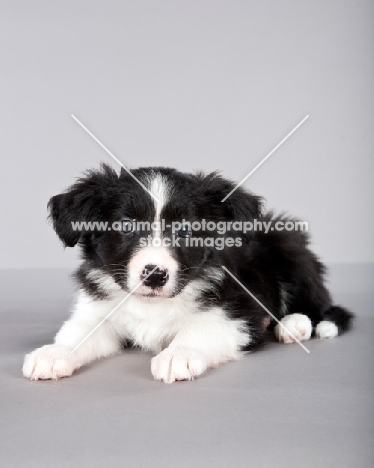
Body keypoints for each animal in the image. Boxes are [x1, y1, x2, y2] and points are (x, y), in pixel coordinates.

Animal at [22, 166, 354, 382]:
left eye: (185, 230)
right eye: (126, 225)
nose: (154, 275)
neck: (152, 305)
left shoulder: (238, 314)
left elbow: (200, 328)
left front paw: (178, 354)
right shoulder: (100, 311)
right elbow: (79, 332)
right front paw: (54, 353)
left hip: (290, 247)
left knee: (319, 305)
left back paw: (295, 324)